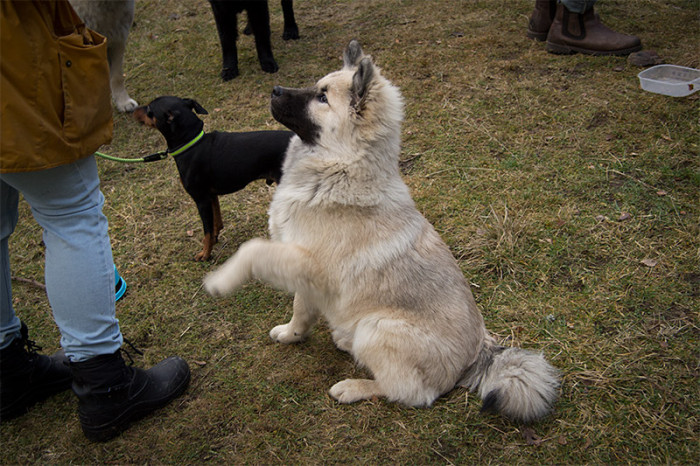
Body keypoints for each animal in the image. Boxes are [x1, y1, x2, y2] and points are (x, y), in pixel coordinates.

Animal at [134, 95, 292, 262]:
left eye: (149, 110)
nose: (133, 110)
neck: (191, 144)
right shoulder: (211, 196)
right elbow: (216, 222)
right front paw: (215, 239)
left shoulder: (201, 200)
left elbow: (207, 230)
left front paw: (205, 254)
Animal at [205, 41, 560, 424]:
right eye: (317, 87)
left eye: (322, 97)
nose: (275, 90)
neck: (340, 169)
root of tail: (477, 355)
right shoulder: (305, 274)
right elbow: (301, 309)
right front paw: (291, 334)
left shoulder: (308, 264)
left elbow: (252, 249)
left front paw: (221, 279)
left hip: (377, 327)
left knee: (410, 392)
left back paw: (354, 386)